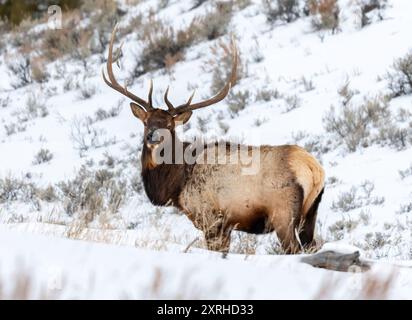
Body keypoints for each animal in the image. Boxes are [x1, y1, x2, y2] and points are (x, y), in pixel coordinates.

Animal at [102, 25, 326, 255]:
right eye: (146, 122)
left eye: (170, 125)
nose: (153, 136)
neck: (176, 184)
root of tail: (314, 169)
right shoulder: (225, 225)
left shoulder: (210, 217)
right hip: (311, 211)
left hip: (283, 212)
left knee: (294, 249)